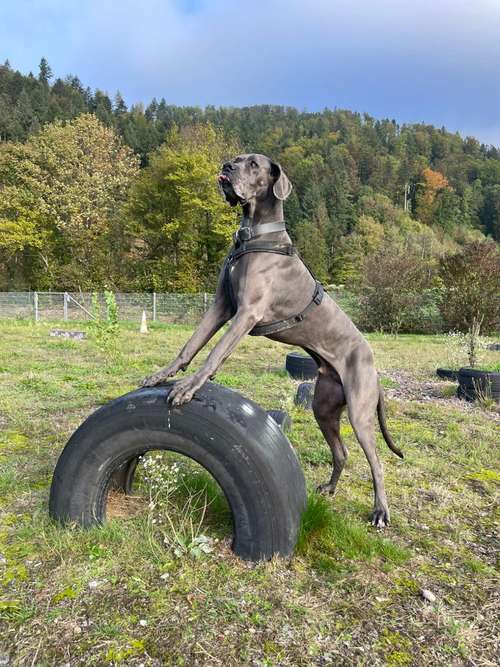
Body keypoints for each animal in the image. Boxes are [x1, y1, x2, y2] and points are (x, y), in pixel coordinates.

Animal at [141, 151, 402, 528]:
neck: (253, 234)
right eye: (237, 158)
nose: (227, 167)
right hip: (323, 407)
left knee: (377, 462)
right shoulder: (221, 306)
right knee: (341, 452)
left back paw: (380, 511)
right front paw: (162, 375)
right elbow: (189, 346)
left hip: (359, 411)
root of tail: (373, 364)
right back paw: (330, 487)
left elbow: (214, 353)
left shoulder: (246, 313)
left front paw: (187, 388)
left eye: (253, 164)